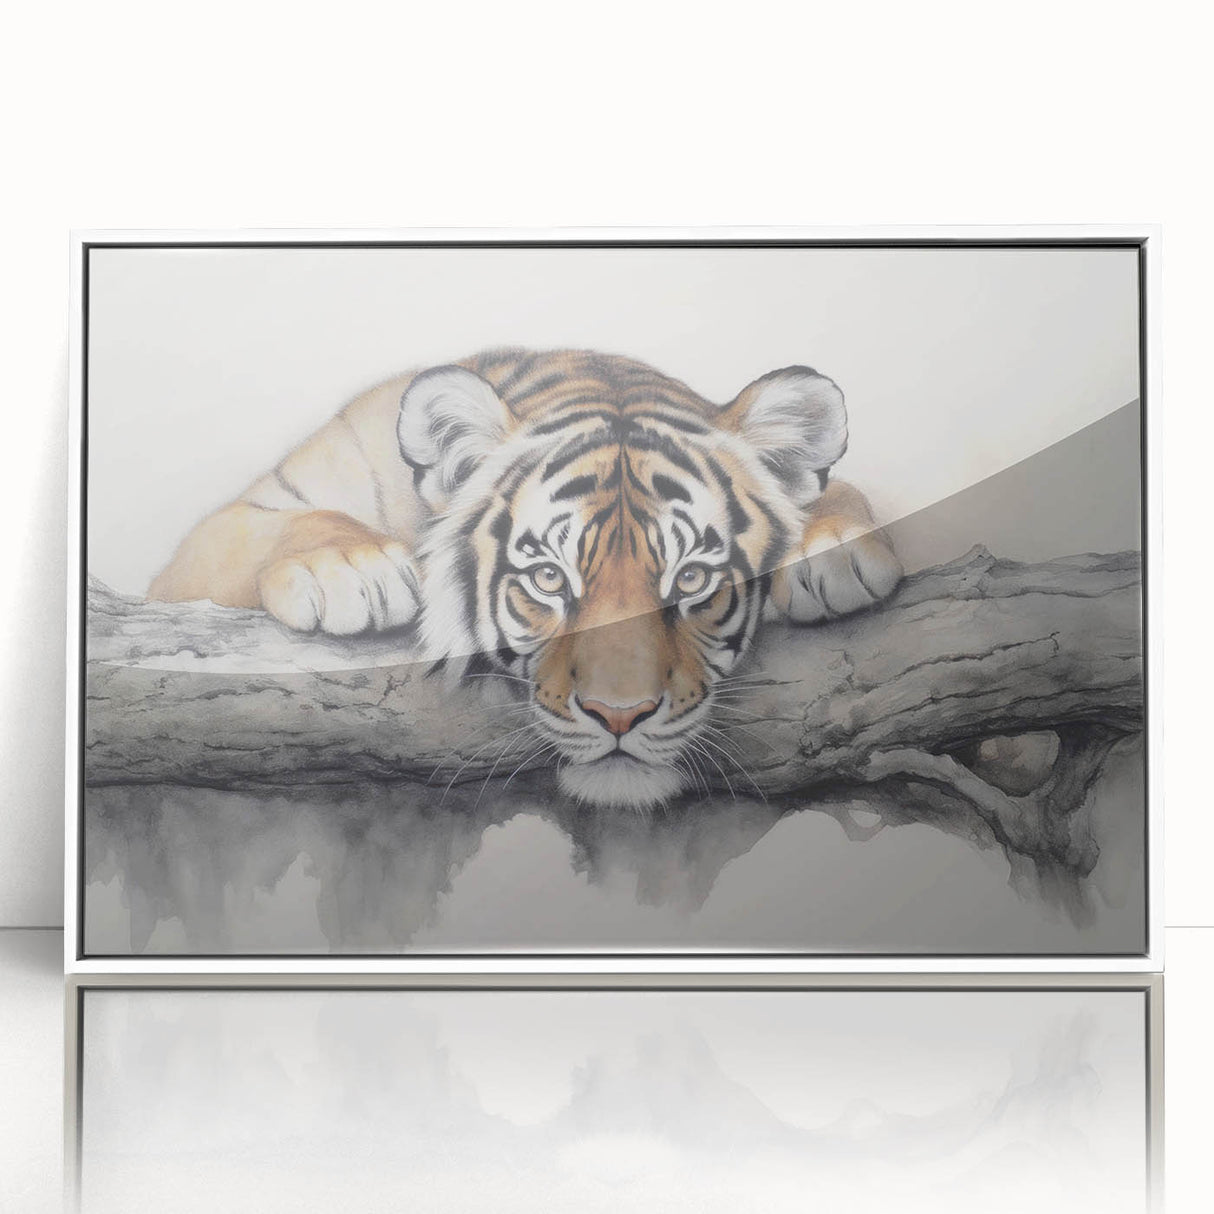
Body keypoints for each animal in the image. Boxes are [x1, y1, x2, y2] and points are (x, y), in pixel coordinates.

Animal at [149, 348, 902, 810]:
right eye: (547, 578)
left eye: (692, 579)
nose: (620, 715)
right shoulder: (214, 540)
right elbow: (295, 522)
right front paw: (352, 568)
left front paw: (833, 547)